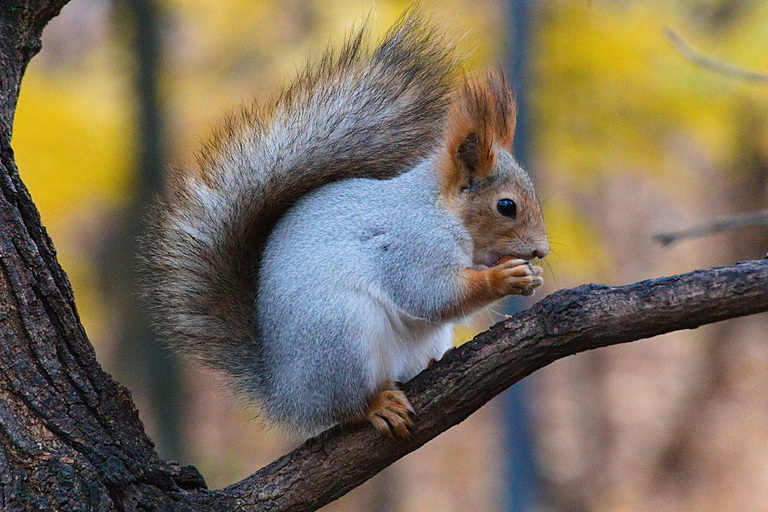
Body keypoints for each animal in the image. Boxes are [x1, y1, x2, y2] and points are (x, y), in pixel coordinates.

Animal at [142, 10, 549, 439]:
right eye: (506, 206)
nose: (541, 250)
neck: (440, 210)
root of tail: (286, 394)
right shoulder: (412, 243)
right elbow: (430, 293)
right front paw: (506, 277)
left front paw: (529, 275)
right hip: (342, 335)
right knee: (343, 407)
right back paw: (375, 406)